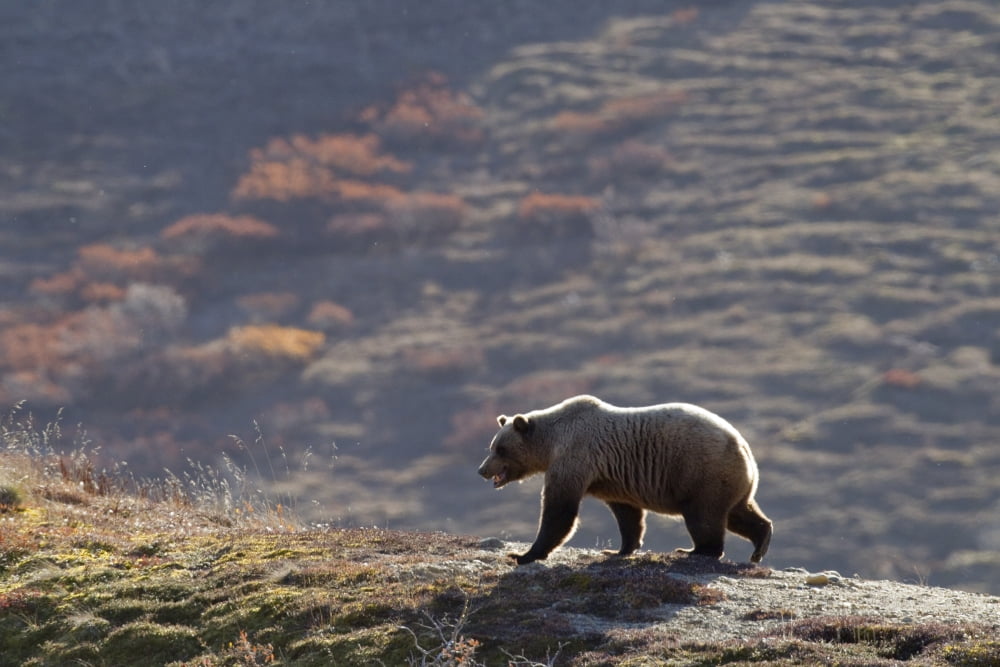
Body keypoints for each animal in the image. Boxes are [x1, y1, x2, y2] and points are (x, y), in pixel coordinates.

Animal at [477, 394, 772, 565]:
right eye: (492, 446)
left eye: (500, 448)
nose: (482, 470)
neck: (551, 444)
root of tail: (744, 446)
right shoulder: (612, 479)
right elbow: (627, 514)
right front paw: (619, 550)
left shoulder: (575, 458)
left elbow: (559, 510)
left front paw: (524, 554)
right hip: (730, 481)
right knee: (738, 512)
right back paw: (760, 543)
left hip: (702, 473)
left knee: (704, 517)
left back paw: (695, 550)